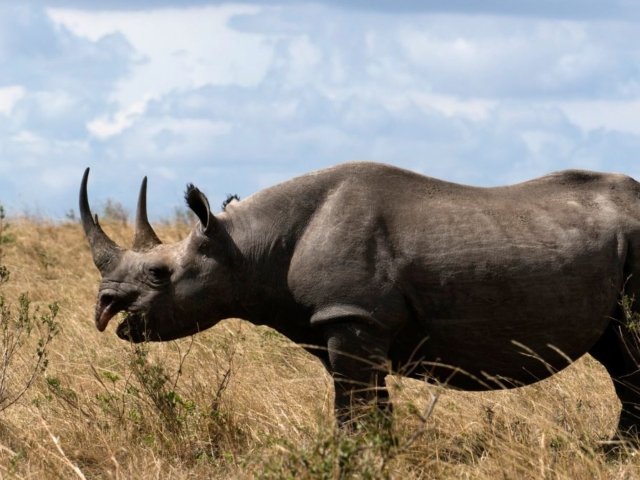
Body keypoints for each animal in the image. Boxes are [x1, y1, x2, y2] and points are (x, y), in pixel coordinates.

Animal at [80, 162, 640, 439]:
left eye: (159, 275)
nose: (104, 307)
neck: (246, 246)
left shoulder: (353, 315)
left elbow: (352, 405)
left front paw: (355, 456)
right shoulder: (342, 322)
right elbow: (365, 402)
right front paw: (380, 453)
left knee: (629, 356)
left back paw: (612, 453)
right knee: (618, 354)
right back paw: (612, 453)